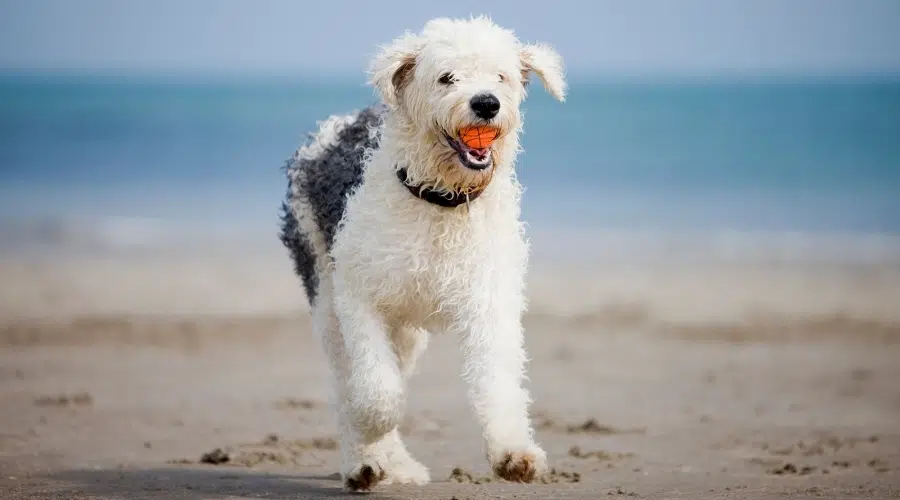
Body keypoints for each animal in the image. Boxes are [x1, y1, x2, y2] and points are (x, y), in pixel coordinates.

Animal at [278, 15, 568, 492]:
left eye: (501, 76)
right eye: (446, 77)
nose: (486, 104)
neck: (440, 200)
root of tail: (332, 127)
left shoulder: (488, 298)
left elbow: (497, 379)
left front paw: (514, 454)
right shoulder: (359, 295)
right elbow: (376, 391)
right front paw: (368, 433)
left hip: (407, 331)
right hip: (323, 288)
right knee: (346, 376)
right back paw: (367, 462)